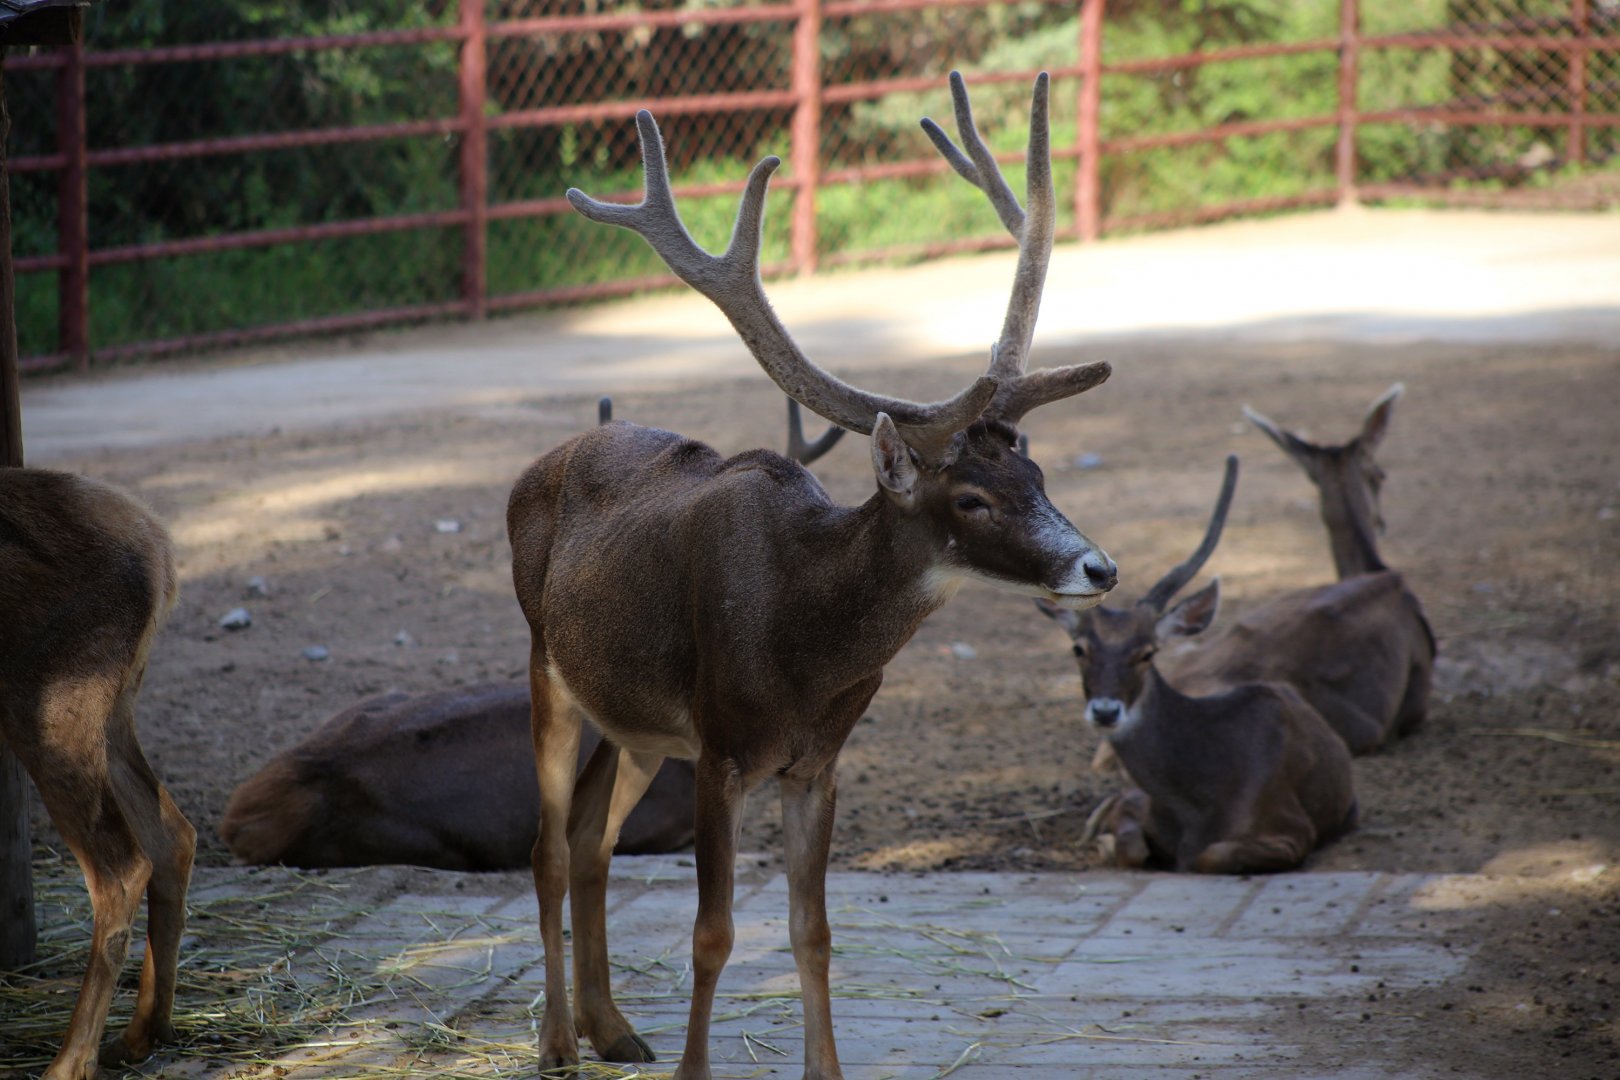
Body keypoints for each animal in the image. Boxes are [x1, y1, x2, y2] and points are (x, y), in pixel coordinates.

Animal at [0, 468, 196, 1080]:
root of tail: (160, 550)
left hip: (49, 707)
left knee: (122, 866)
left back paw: (70, 1060)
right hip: (110, 708)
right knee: (173, 835)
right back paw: (140, 1035)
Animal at [506, 72, 1115, 1079]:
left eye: (1037, 476)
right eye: (970, 500)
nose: (1098, 565)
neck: (803, 651)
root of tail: (534, 468)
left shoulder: (819, 763)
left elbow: (813, 933)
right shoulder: (719, 749)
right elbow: (713, 934)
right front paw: (694, 1070)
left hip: (637, 722)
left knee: (593, 838)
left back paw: (613, 1028)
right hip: (543, 660)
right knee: (549, 847)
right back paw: (558, 1043)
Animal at [1038, 456, 1358, 874]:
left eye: (1148, 653)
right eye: (1079, 649)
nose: (1106, 712)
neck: (1196, 800)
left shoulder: (1291, 831)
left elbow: (1203, 858)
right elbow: (1133, 848)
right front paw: (1107, 840)